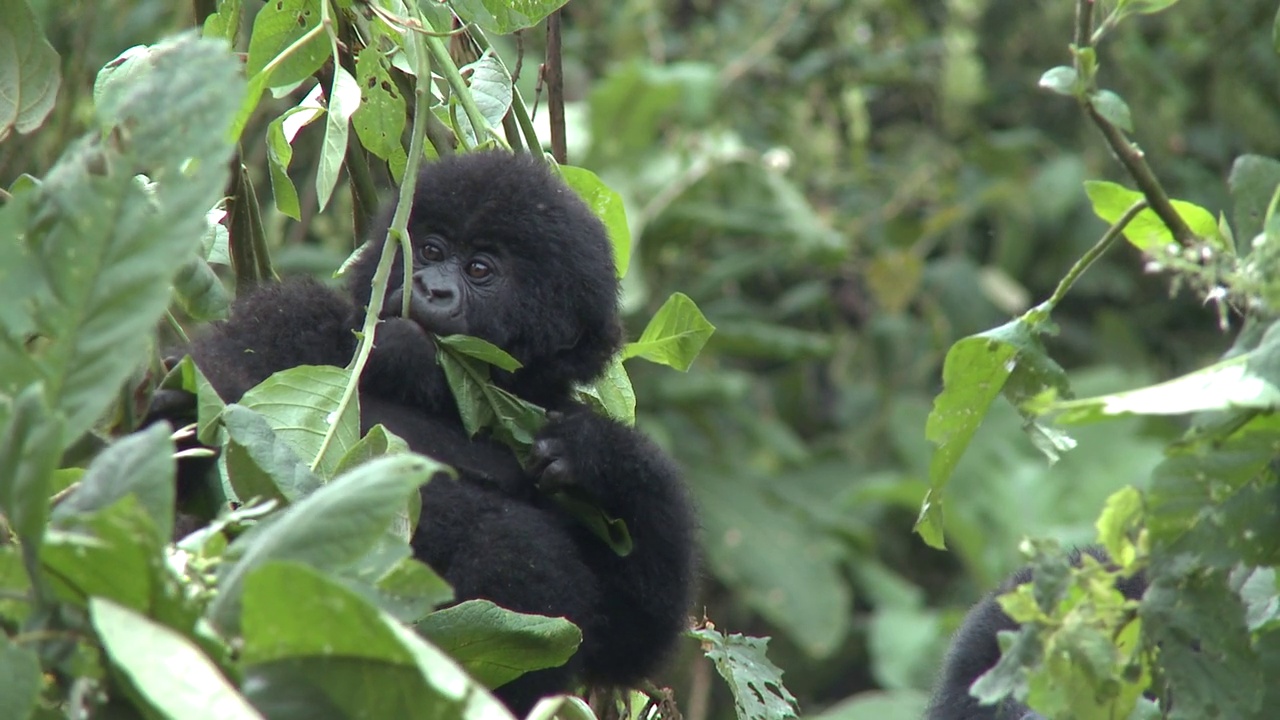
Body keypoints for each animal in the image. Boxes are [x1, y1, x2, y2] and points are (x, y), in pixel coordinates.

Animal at [163, 151, 701, 712]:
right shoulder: (289, 317)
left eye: (480, 269)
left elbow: (629, 636)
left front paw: (599, 454)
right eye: (430, 249)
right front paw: (183, 411)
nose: (429, 287)